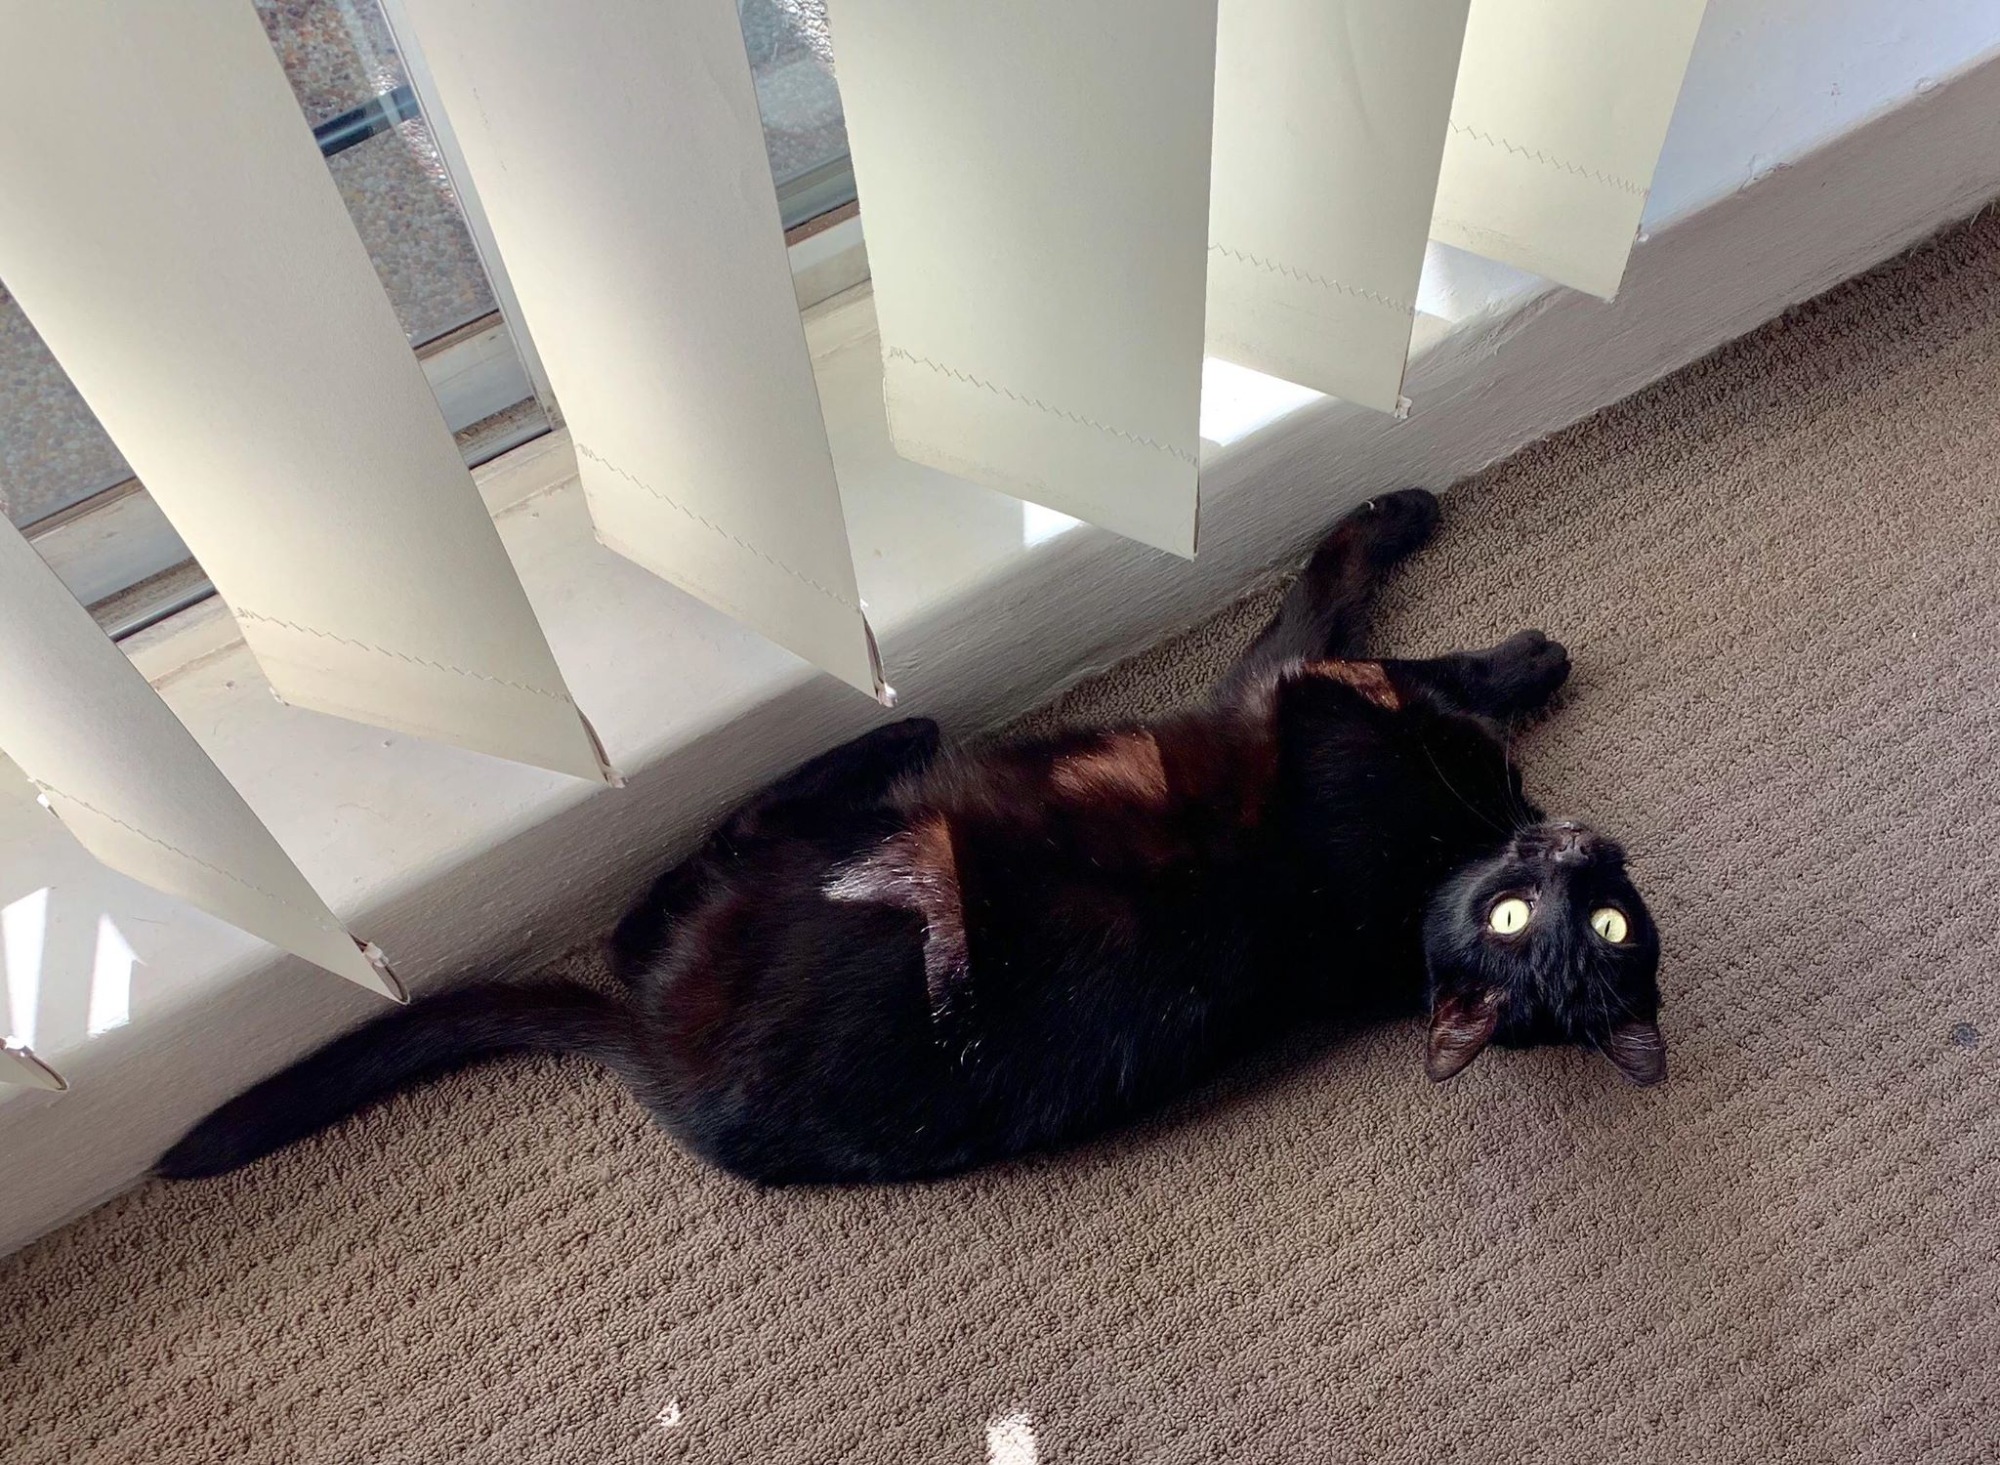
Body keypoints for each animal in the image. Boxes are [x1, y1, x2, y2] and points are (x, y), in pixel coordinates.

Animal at [159, 489, 1665, 1186]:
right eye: (1557, 918)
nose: (1562, 843)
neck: (1422, 864)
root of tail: (658, 1061)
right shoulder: (1311, 696)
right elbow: (1382, 622)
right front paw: (1527, 654)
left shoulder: (1299, 690)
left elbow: (1363, 602)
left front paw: (1488, 626)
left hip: (802, 881)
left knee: (659, 895)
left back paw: (888, 739)